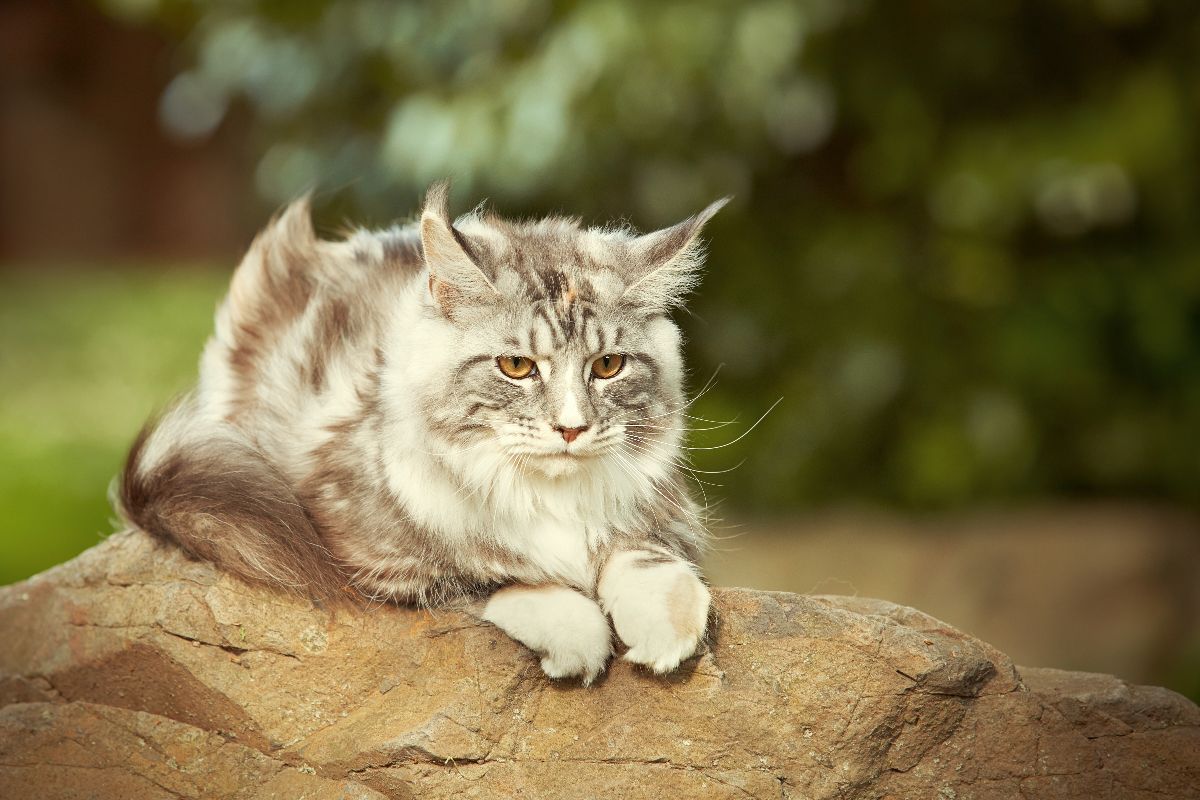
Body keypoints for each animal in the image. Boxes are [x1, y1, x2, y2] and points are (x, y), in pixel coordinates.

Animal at [117, 184, 724, 686]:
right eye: (516, 366)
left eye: (608, 366)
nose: (571, 428)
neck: (543, 495)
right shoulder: (361, 553)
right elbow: (497, 580)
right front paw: (579, 640)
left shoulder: (659, 517)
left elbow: (648, 558)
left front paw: (665, 629)